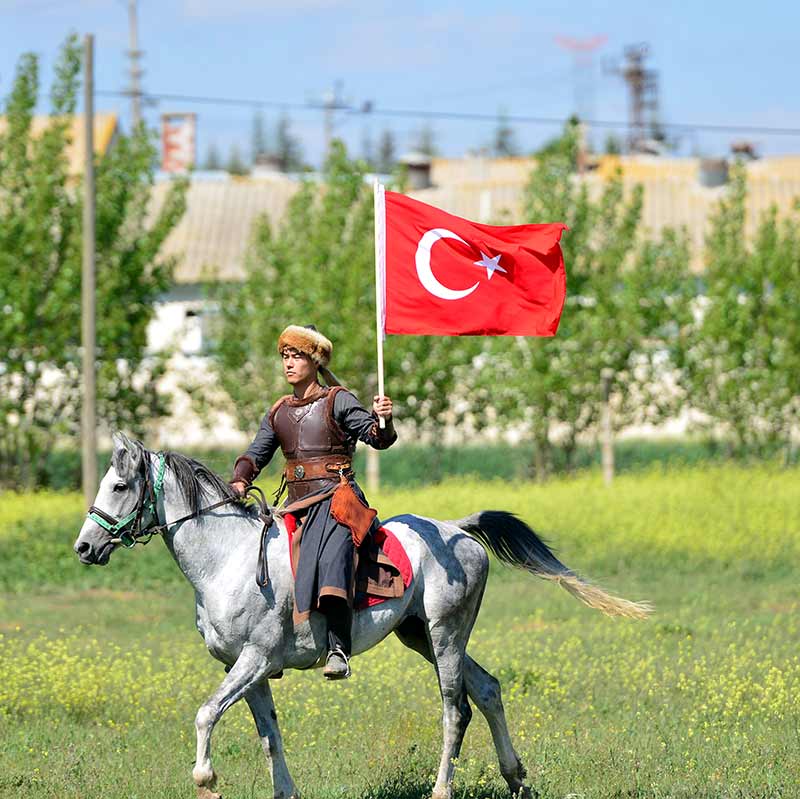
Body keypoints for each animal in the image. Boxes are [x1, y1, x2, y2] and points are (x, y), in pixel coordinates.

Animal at [73, 438, 648, 799]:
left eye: (120, 487)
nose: (84, 547)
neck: (227, 559)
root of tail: (456, 529)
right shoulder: (244, 669)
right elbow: (268, 734)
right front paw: (284, 791)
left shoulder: (253, 661)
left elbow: (205, 714)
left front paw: (206, 780)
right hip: (420, 636)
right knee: (487, 689)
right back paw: (518, 779)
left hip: (444, 636)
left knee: (455, 708)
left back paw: (442, 789)